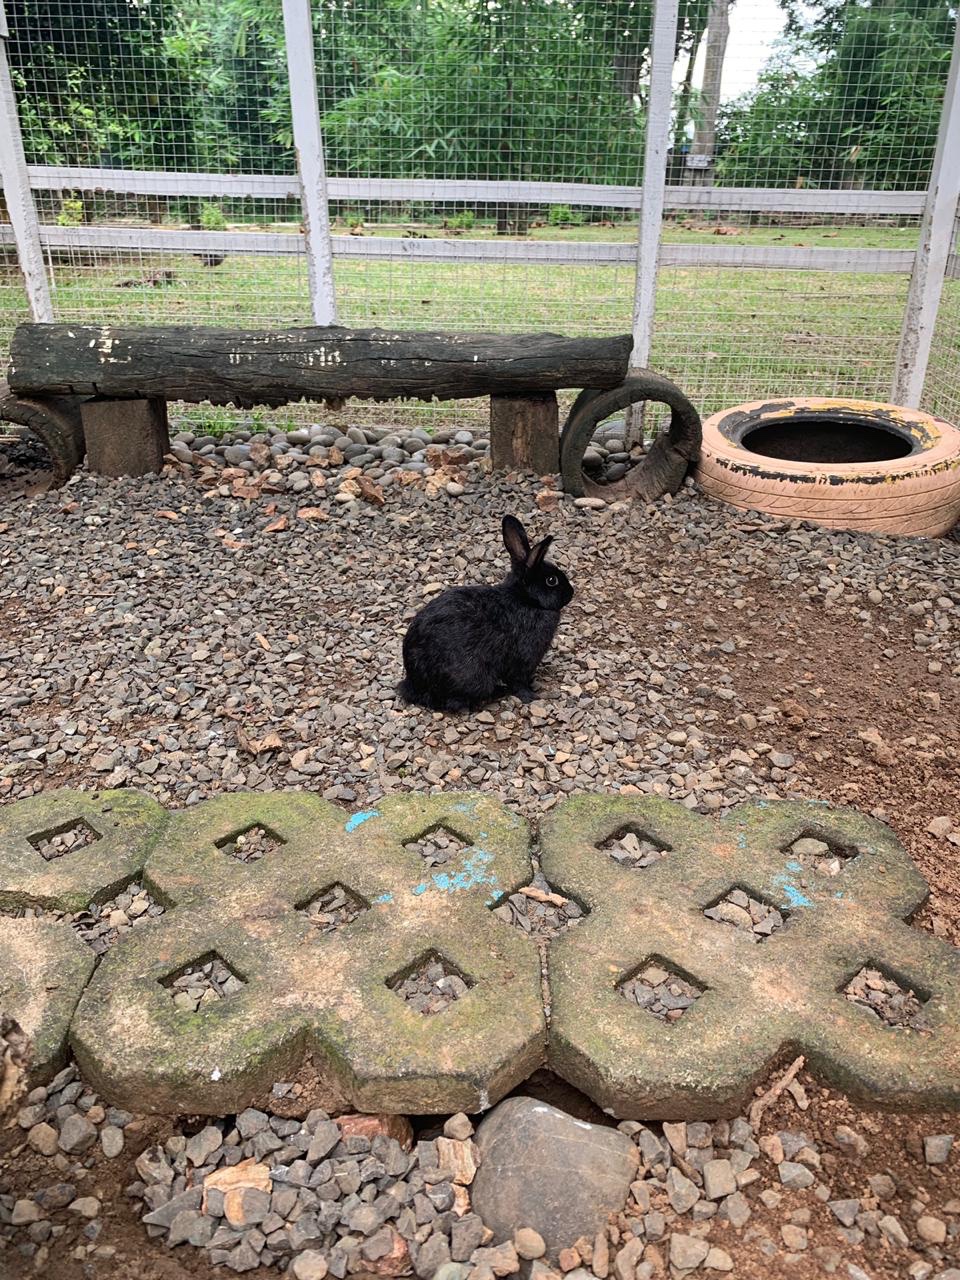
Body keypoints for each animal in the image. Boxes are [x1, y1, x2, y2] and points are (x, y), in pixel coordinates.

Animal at [398, 514, 574, 712]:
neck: (526, 599)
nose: (571, 593)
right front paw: (531, 696)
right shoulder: (523, 658)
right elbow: (518, 682)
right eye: (552, 580)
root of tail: (414, 684)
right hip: (474, 678)